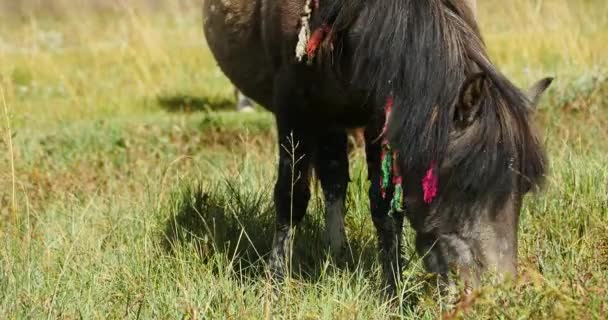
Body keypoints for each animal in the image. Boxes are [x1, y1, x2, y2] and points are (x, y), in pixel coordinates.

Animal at [203, 0, 552, 296]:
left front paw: (393, 291)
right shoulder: (293, 105)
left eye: (523, 190)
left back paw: (337, 252)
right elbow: (291, 195)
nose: (496, 292)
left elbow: (385, 208)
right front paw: (275, 283)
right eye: (468, 185)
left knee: (334, 176)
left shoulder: (380, 117)